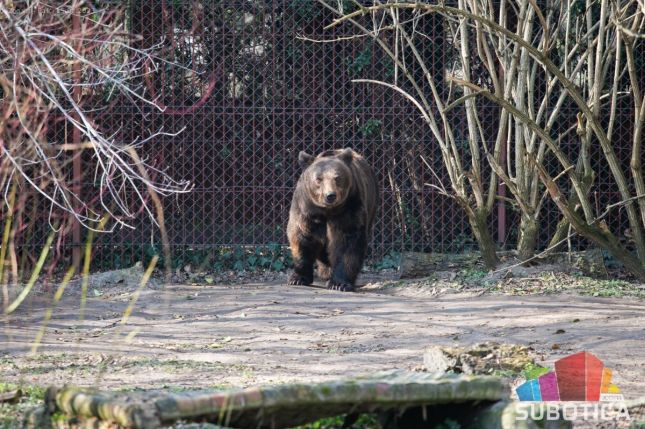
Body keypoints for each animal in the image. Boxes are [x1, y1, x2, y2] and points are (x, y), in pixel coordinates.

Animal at [286, 147, 378, 290]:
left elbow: (347, 241)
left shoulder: (349, 207)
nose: (330, 195)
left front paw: (339, 283)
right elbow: (302, 237)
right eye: (318, 179)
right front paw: (298, 278)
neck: (327, 210)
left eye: (337, 177)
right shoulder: (306, 209)